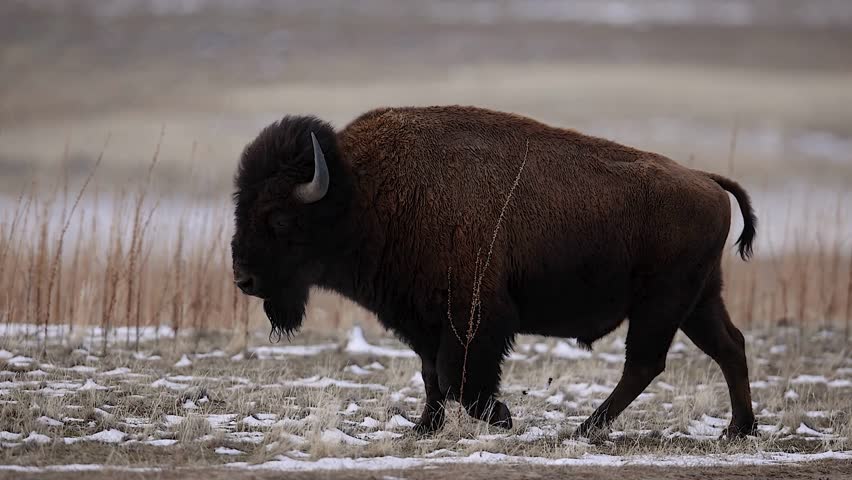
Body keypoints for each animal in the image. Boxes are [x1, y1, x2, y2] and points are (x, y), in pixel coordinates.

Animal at [231, 105, 758, 438]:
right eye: (241, 205)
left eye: (278, 219)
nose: (244, 280)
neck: (360, 193)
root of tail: (708, 182)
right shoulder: (421, 318)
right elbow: (431, 375)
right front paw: (423, 428)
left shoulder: (475, 317)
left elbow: (456, 378)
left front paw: (502, 417)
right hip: (699, 300)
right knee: (729, 347)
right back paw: (737, 431)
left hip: (661, 304)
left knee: (646, 363)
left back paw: (585, 429)